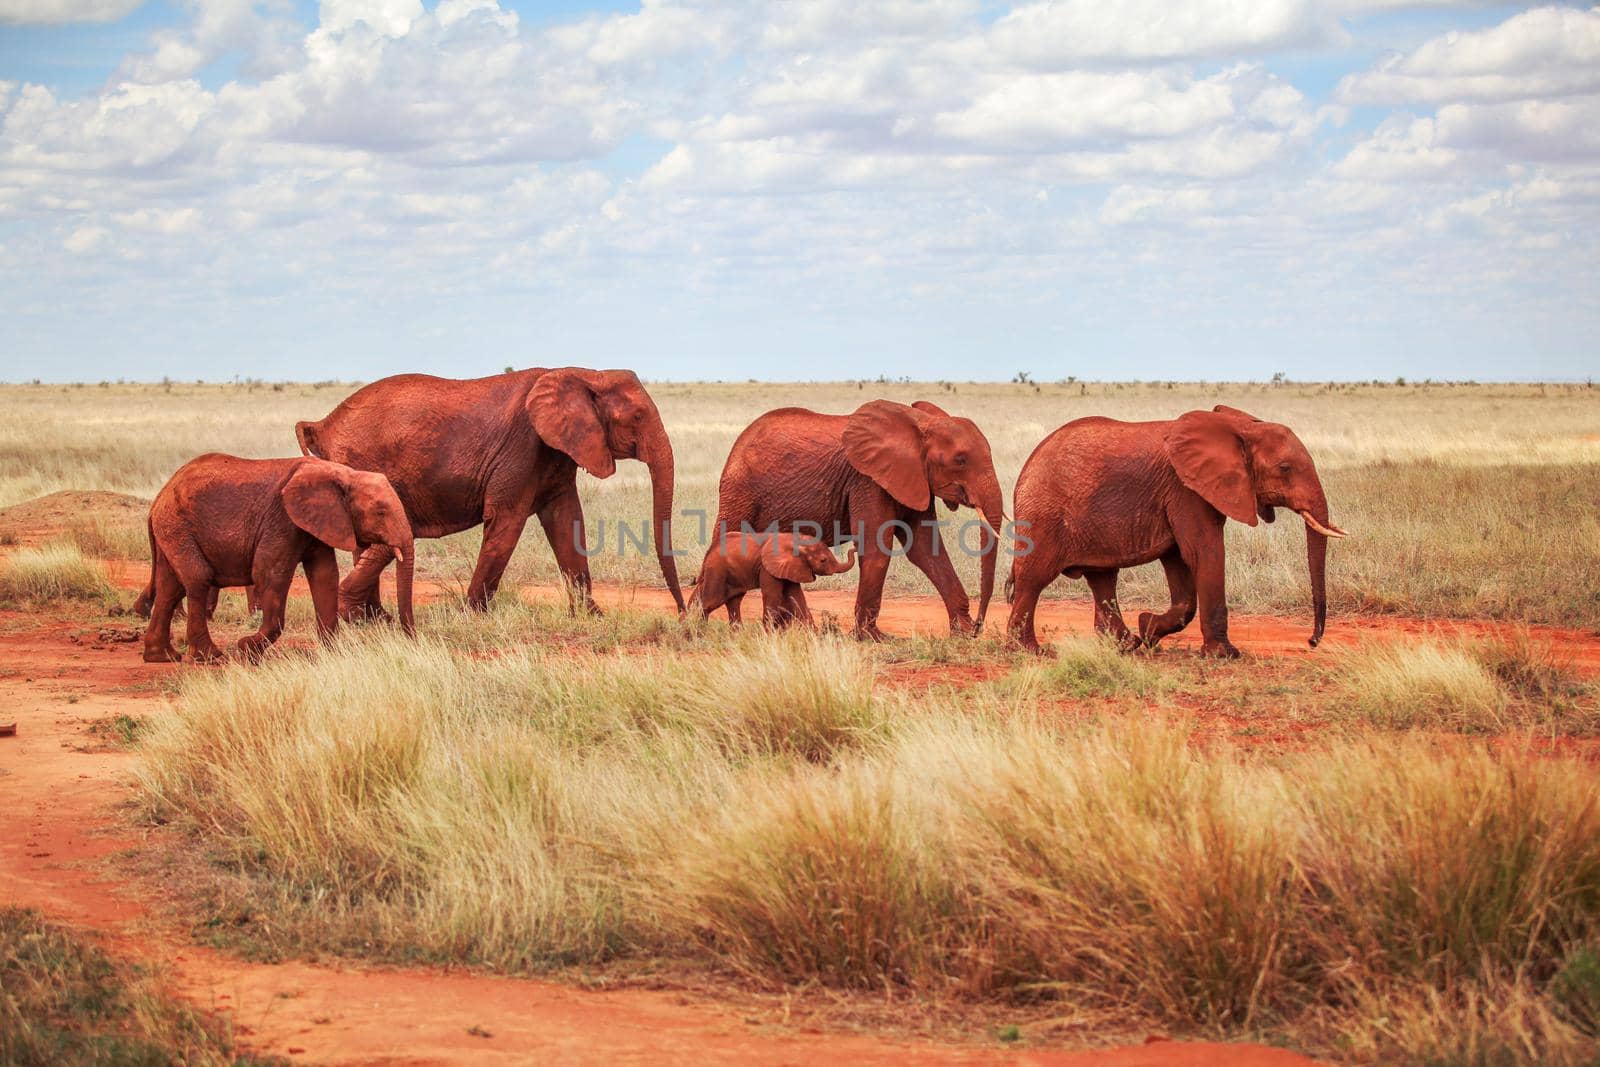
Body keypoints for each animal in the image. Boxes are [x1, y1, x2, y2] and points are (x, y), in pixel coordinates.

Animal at [143, 454, 416, 662]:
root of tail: (158, 499)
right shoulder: (281, 520)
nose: (411, 638)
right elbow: (270, 574)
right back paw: (208, 657)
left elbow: (325, 575)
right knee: (198, 579)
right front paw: (246, 649)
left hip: (172, 529)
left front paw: (333, 654)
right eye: (380, 512)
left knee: (170, 587)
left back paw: (162, 657)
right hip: (178, 526)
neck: (344, 474)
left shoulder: (316, 523)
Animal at [297, 367, 684, 617]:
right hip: (359, 461)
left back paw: (373, 619)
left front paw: (593, 618)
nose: (682, 615)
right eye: (637, 417)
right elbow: (506, 523)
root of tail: (323, 424)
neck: (585, 373)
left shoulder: (555, 453)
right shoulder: (524, 447)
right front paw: (472, 616)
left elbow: (566, 523)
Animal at [691, 531, 864, 630]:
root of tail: (710, 551)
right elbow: (773, 596)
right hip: (717, 571)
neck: (797, 541)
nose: (855, 546)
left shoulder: (791, 567)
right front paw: (767, 634)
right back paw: (698, 632)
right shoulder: (768, 568)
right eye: (823, 560)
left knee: (732, 600)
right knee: (711, 601)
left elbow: (797, 596)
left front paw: (813, 634)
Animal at [720, 396, 1004, 639]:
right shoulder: (868, 481)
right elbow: (877, 549)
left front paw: (963, 634)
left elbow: (926, 550)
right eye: (960, 460)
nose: (979, 626)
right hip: (739, 489)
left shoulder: (914, 481)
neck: (921, 423)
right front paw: (873, 638)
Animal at [1004, 406, 1344, 659]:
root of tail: (1027, 468)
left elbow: (1180, 560)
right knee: (1034, 578)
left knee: (1102, 579)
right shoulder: (1186, 490)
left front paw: (1149, 629)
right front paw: (1225, 655)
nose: (1311, 642)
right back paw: (1029, 651)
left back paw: (1126, 645)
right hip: (1043, 516)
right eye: (1285, 468)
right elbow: (1203, 552)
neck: (1239, 426)